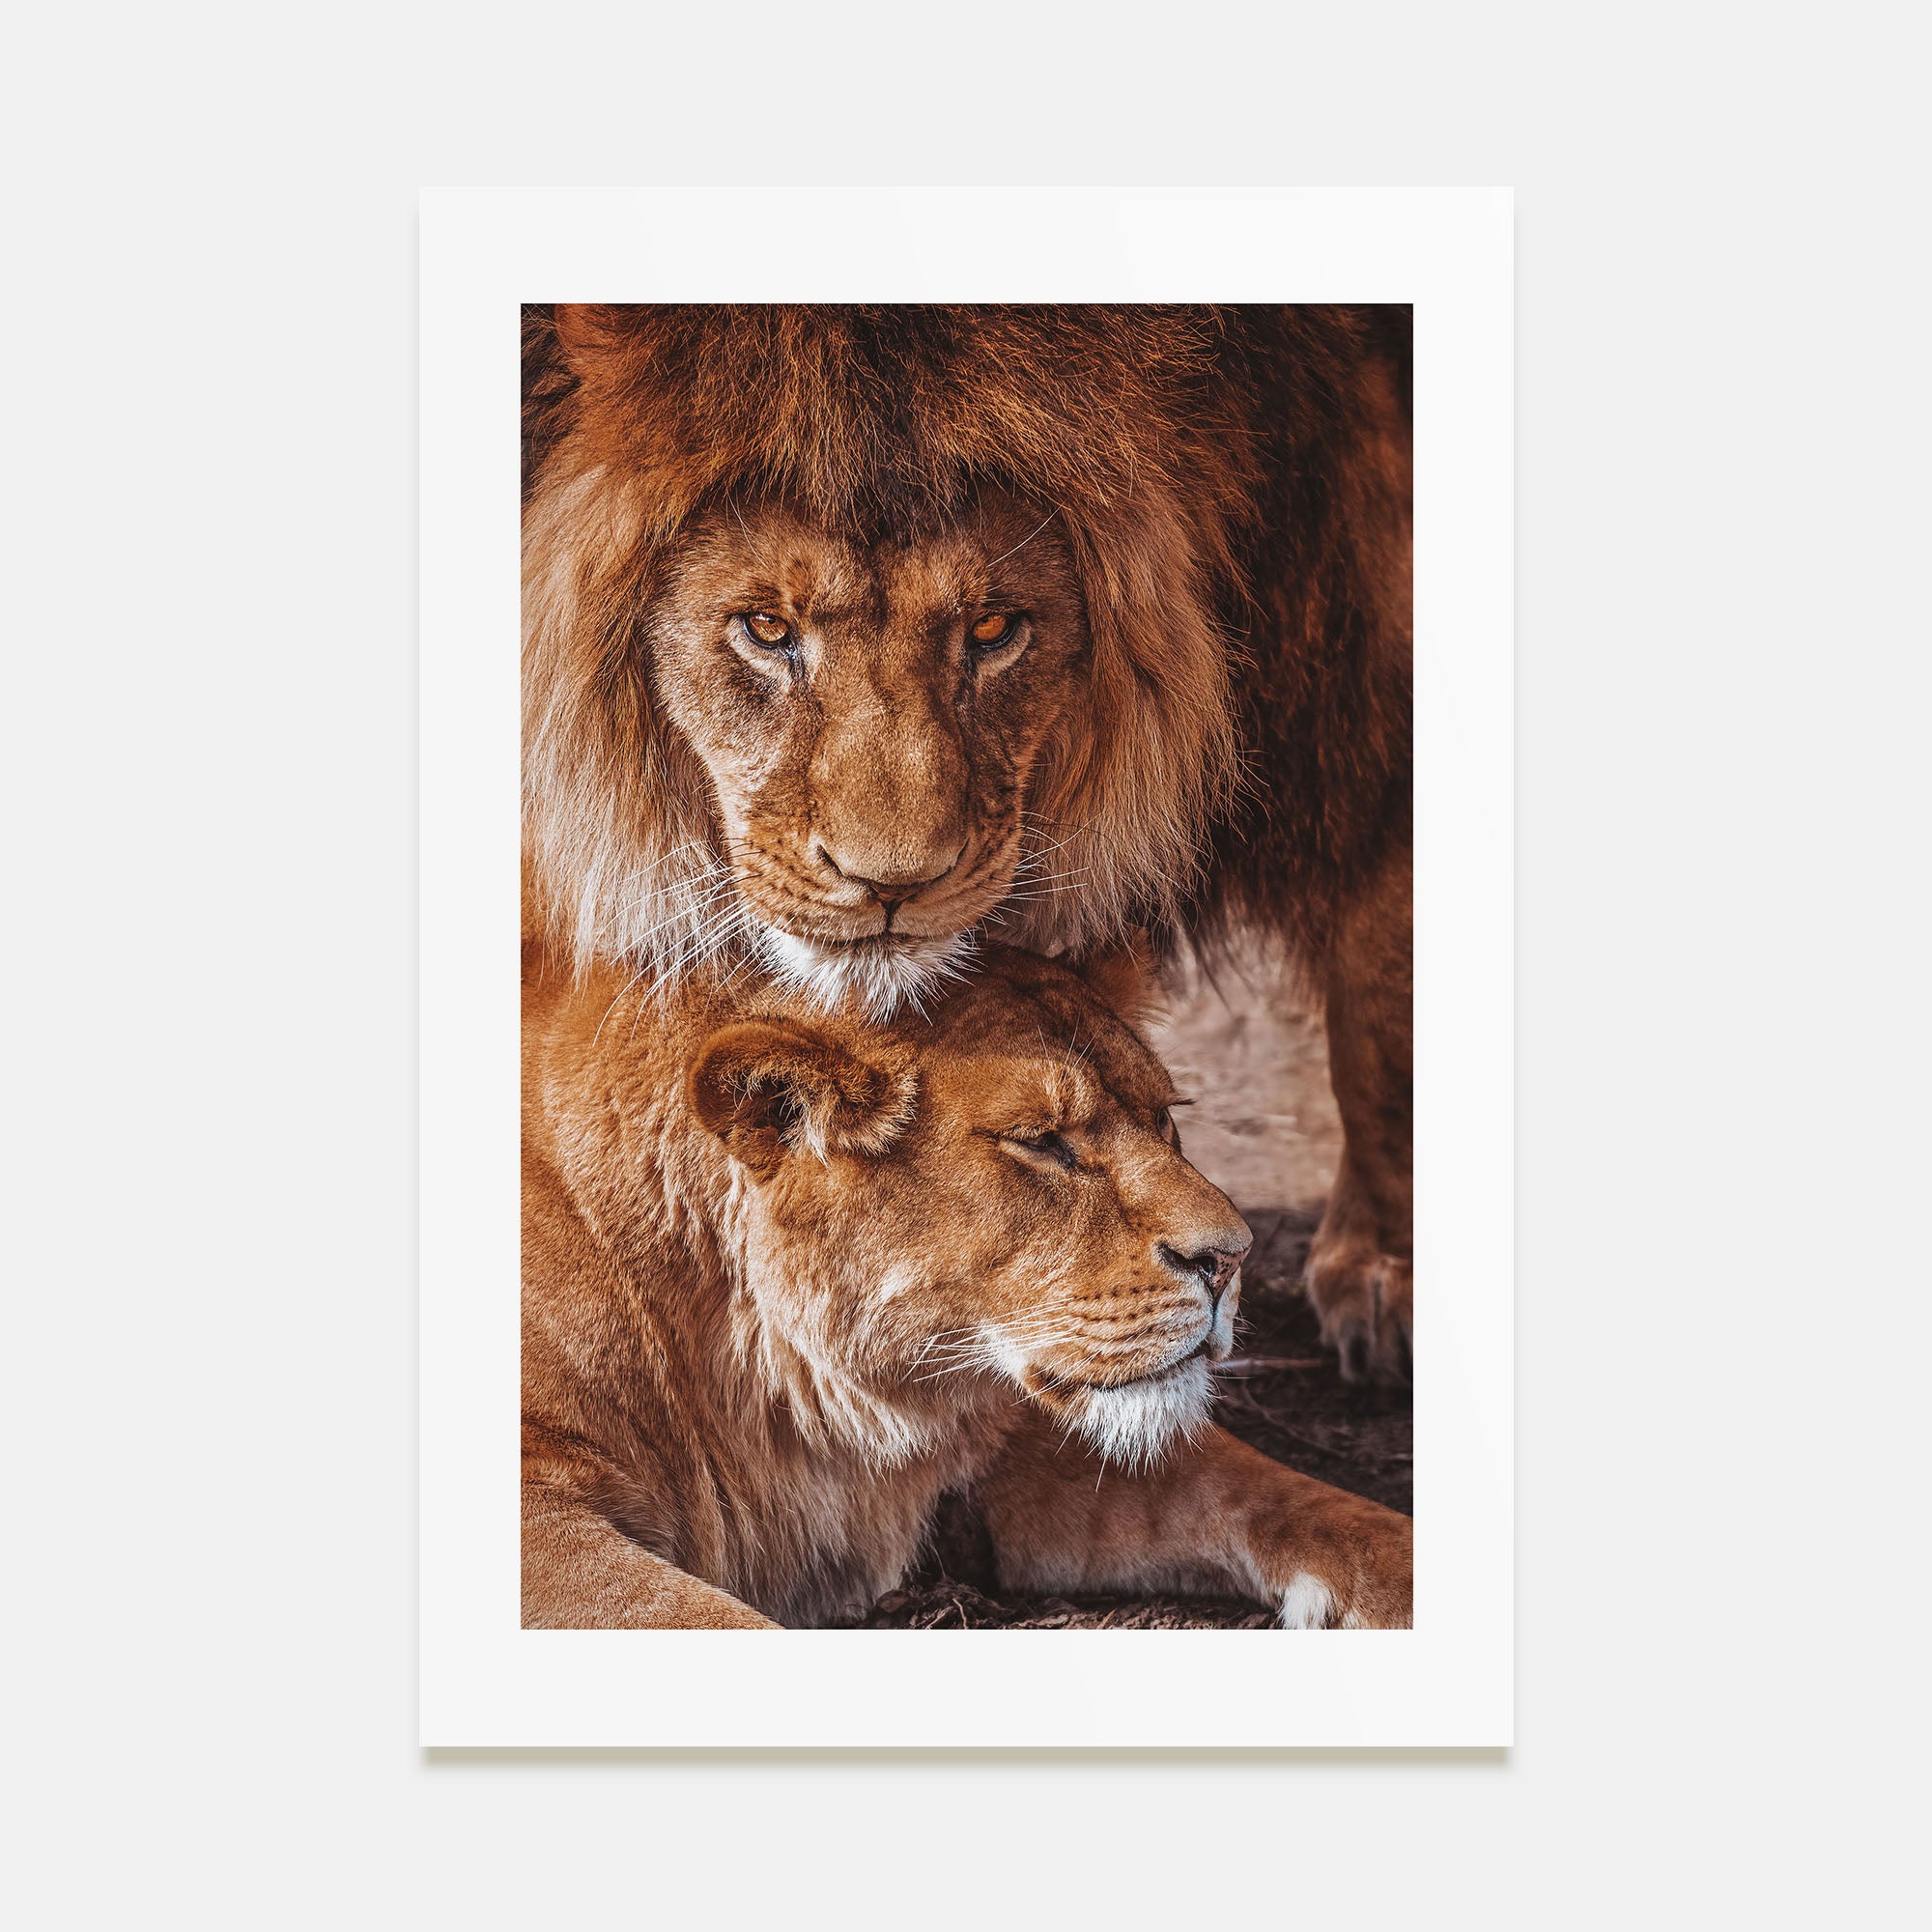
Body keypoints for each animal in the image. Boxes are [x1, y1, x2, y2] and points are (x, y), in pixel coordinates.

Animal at [522, 944, 1413, 1629]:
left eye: (1164, 1118)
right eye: (1042, 1141)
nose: (1232, 1258)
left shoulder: (1014, 1439)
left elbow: (1305, 1503)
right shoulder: (539, 1514)